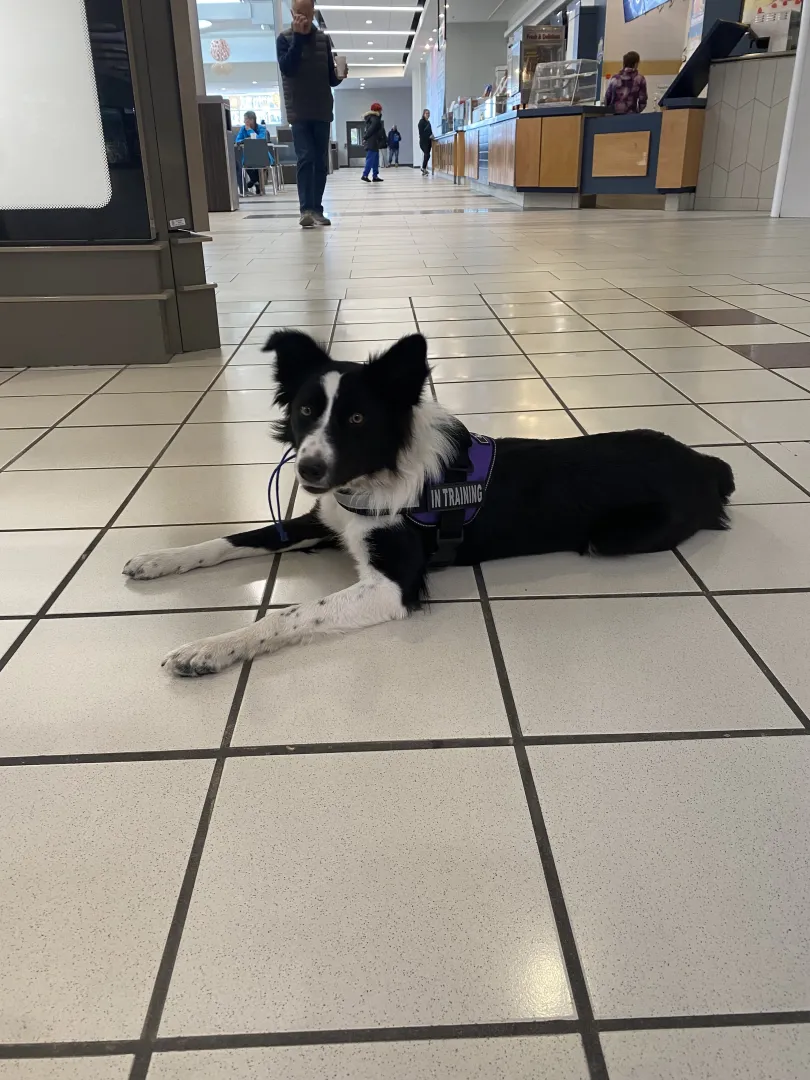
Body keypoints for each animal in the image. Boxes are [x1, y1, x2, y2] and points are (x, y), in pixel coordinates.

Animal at [125, 332, 734, 678]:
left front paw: (210, 647)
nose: (309, 471)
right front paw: (159, 559)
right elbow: (230, 539)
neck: (375, 474)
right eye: (304, 411)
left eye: (356, 418)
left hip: (610, 536)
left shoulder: (392, 584)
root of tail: (705, 462)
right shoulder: (323, 517)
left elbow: (290, 613)